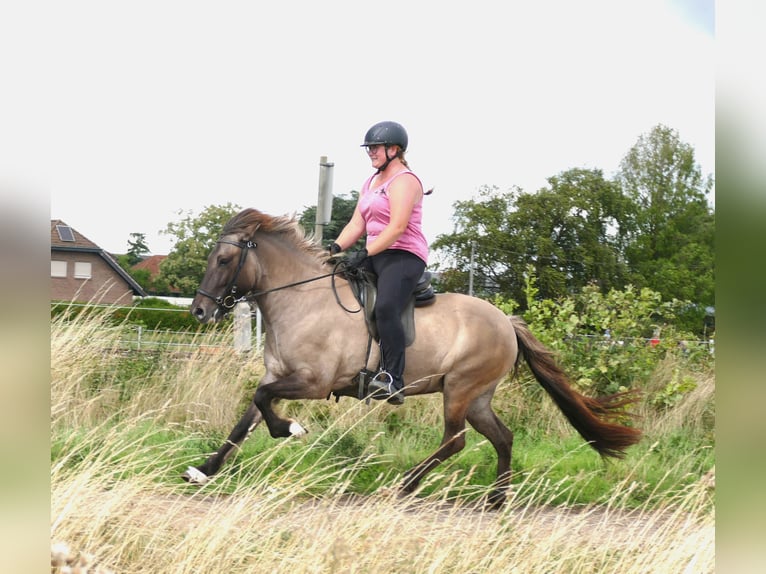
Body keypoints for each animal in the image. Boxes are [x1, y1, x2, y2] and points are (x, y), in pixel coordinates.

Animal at [184, 207, 640, 508]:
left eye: (224, 259)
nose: (200, 312)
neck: (302, 298)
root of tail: (507, 321)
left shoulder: (314, 383)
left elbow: (264, 405)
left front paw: (290, 429)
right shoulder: (276, 376)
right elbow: (246, 418)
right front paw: (204, 470)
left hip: (459, 389)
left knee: (455, 440)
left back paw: (404, 486)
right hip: (477, 397)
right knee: (502, 437)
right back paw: (496, 499)